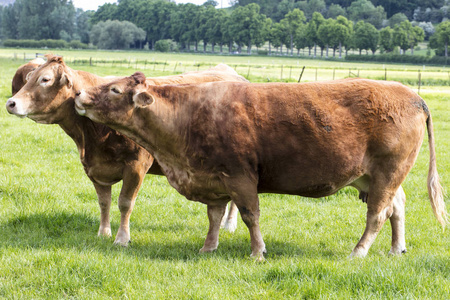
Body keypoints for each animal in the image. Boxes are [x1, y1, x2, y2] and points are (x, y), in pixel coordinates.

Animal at [5, 56, 244, 246]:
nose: (11, 103)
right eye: (29, 77)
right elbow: (104, 202)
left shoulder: (136, 166)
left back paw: (229, 224)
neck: (92, 136)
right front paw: (103, 233)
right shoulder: (95, 167)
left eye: (45, 79)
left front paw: (122, 238)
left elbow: (125, 203)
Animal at [74, 72, 446, 260]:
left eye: (114, 89)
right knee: (397, 207)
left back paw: (358, 252)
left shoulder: (240, 176)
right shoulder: (212, 178)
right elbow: (213, 216)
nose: (79, 96)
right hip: (375, 177)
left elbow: (250, 216)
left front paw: (257, 251)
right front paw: (208, 247)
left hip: (388, 172)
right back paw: (397, 248)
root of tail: (414, 96)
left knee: (378, 214)